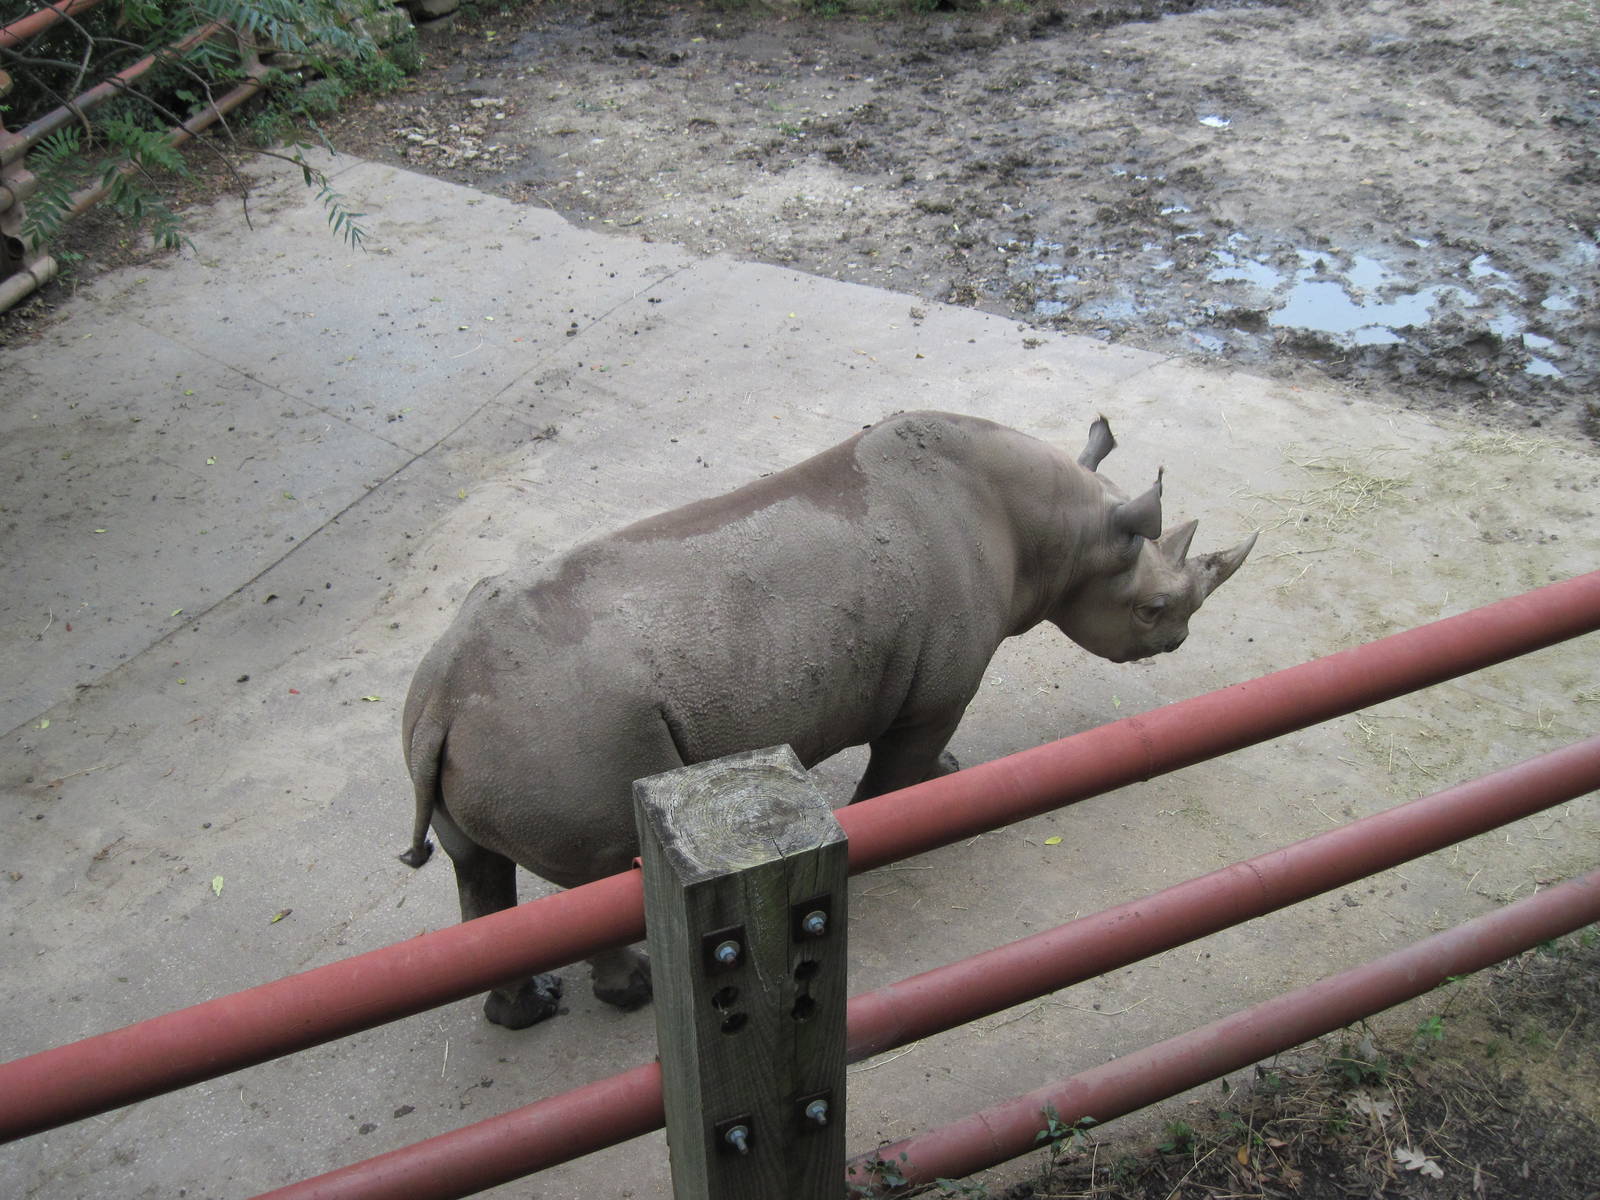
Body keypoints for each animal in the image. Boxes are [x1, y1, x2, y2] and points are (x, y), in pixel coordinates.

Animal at [400, 411, 1255, 1028]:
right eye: (1154, 609)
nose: (1177, 641)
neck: (1059, 532)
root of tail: (445, 694)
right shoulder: (937, 689)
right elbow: (897, 768)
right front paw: (897, 822)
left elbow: (921, 757)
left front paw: (947, 777)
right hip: (565, 733)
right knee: (602, 866)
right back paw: (633, 992)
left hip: (476, 728)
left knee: (478, 867)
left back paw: (526, 1011)